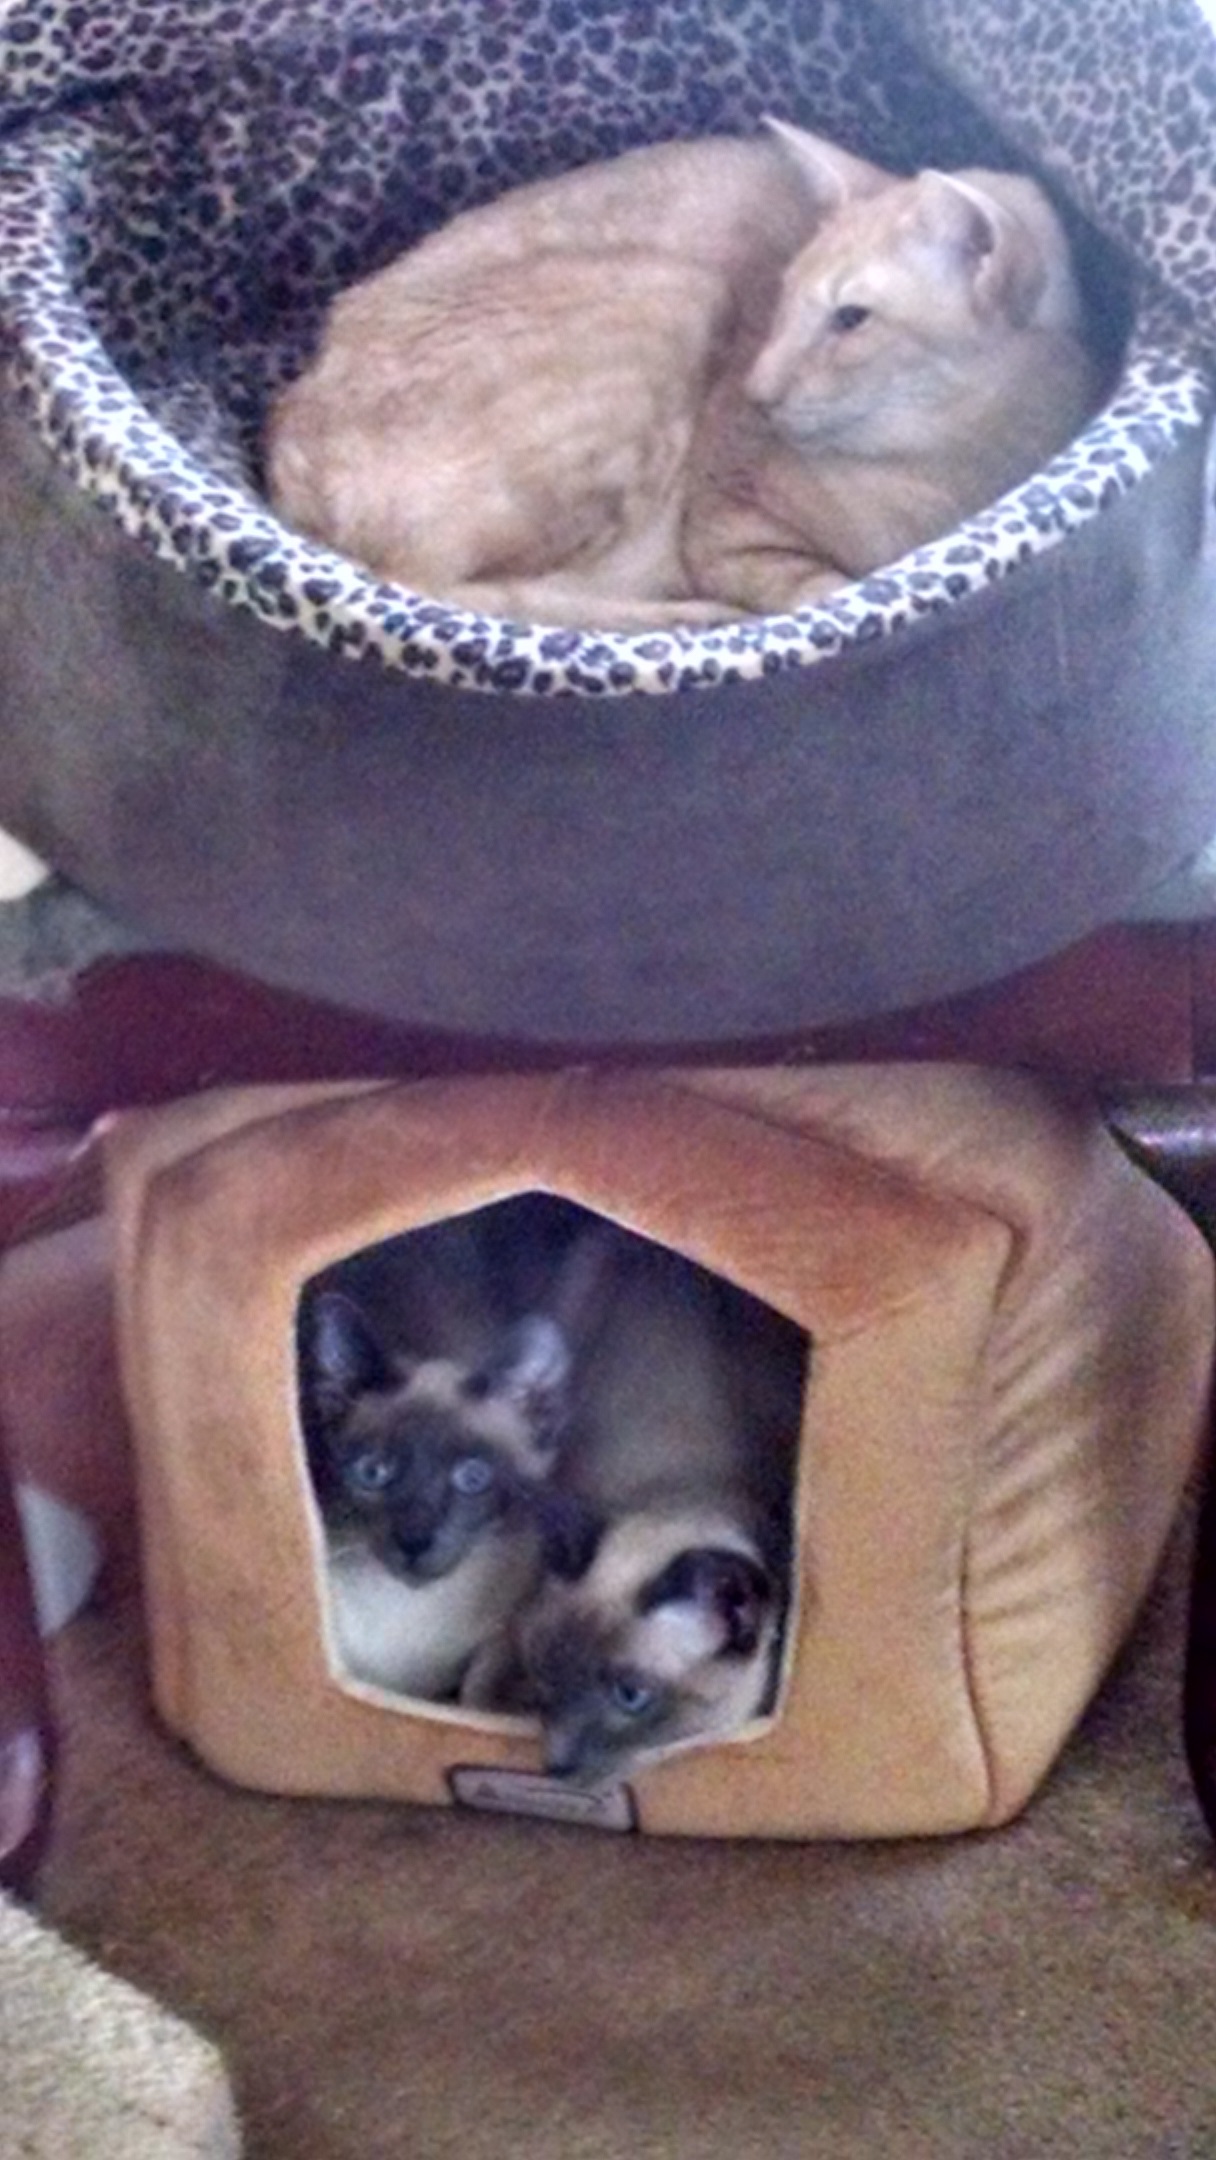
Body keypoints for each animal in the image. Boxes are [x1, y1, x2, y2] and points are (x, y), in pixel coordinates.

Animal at [267, 118, 1100, 632]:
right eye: (783, 301)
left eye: (849, 319)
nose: (759, 391)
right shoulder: (728, 528)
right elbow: (832, 595)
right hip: (675, 293)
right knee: (433, 594)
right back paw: (678, 623)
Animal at [462, 1227, 804, 1787]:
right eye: (547, 1671)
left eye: (631, 1697)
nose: (556, 1769)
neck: (686, 1488)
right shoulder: (507, 1639)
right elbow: (475, 1689)